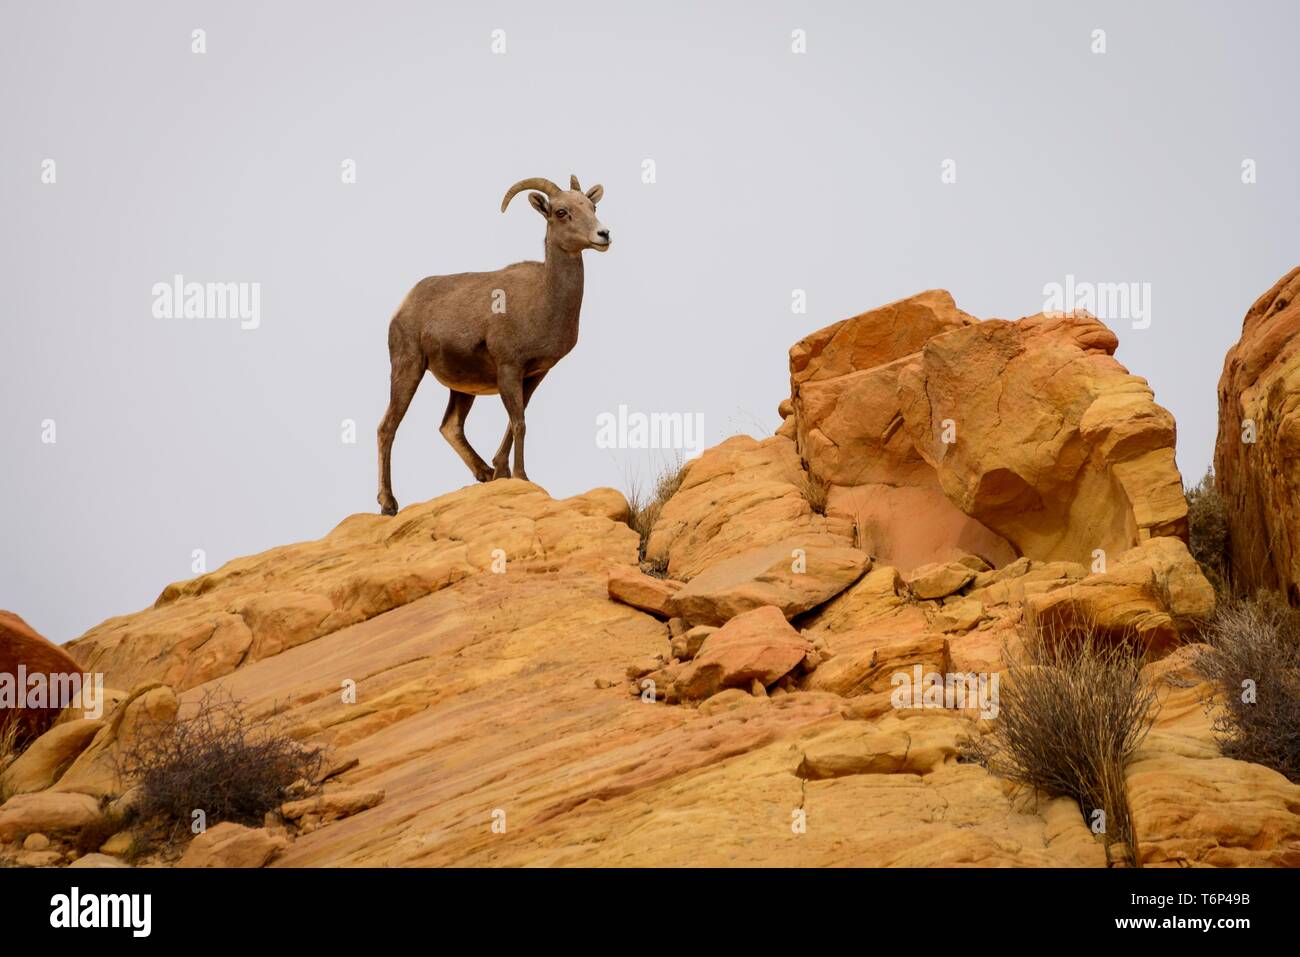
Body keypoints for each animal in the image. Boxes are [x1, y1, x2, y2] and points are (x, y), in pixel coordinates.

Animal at [377, 171, 608, 514]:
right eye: (561, 212)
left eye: (592, 207)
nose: (603, 234)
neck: (544, 300)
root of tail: (405, 304)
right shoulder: (509, 367)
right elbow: (520, 422)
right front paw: (522, 477)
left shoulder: (534, 374)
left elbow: (515, 422)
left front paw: (501, 472)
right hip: (409, 368)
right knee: (388, 428)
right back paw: (388, 503)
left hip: (462, 387)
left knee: (450, 426)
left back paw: (484, 473)